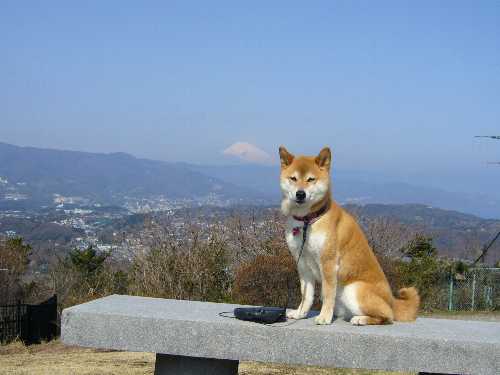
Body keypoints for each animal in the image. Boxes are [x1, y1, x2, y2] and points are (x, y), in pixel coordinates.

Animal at [280, 147, 420, 326]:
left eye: (311, 179)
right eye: (293, 178)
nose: (300, 194)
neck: (307, 220)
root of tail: (392, 302)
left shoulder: (328, 262)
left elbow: (327, 294)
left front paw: (324, 317)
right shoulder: (303, 263)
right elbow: (306, 295)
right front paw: (300, 314)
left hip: (353, 289)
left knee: (387, 316)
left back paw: (361, 319)